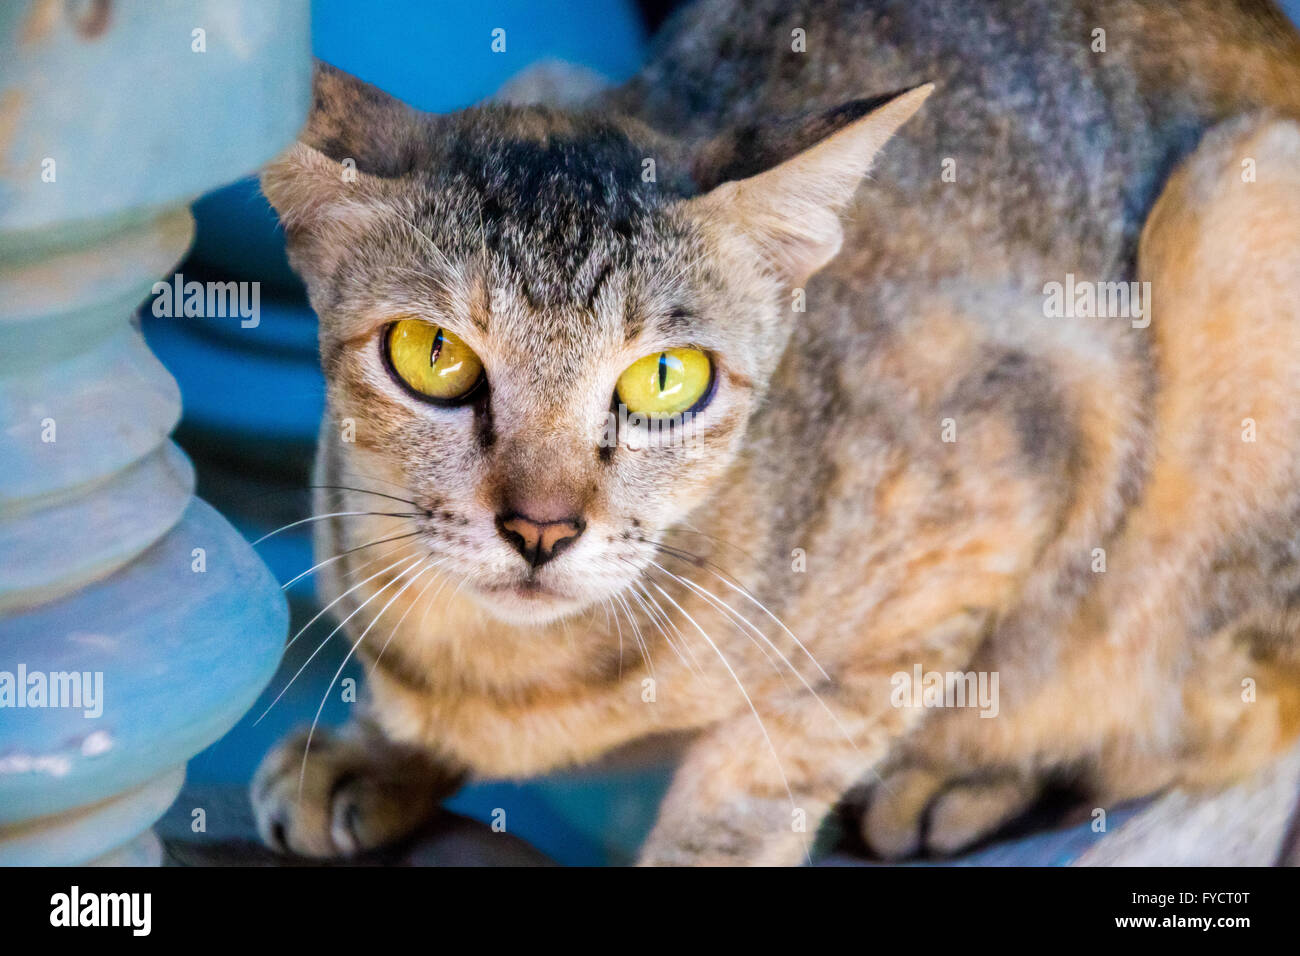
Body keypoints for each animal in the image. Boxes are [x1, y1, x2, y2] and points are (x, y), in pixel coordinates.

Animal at [250, 0, 1300, 868]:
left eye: (666, 378)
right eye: (432, 354)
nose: (542, 528)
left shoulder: (1019, 460)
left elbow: (771, 765)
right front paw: (375, 755)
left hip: (1236, 207)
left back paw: (963, 778)